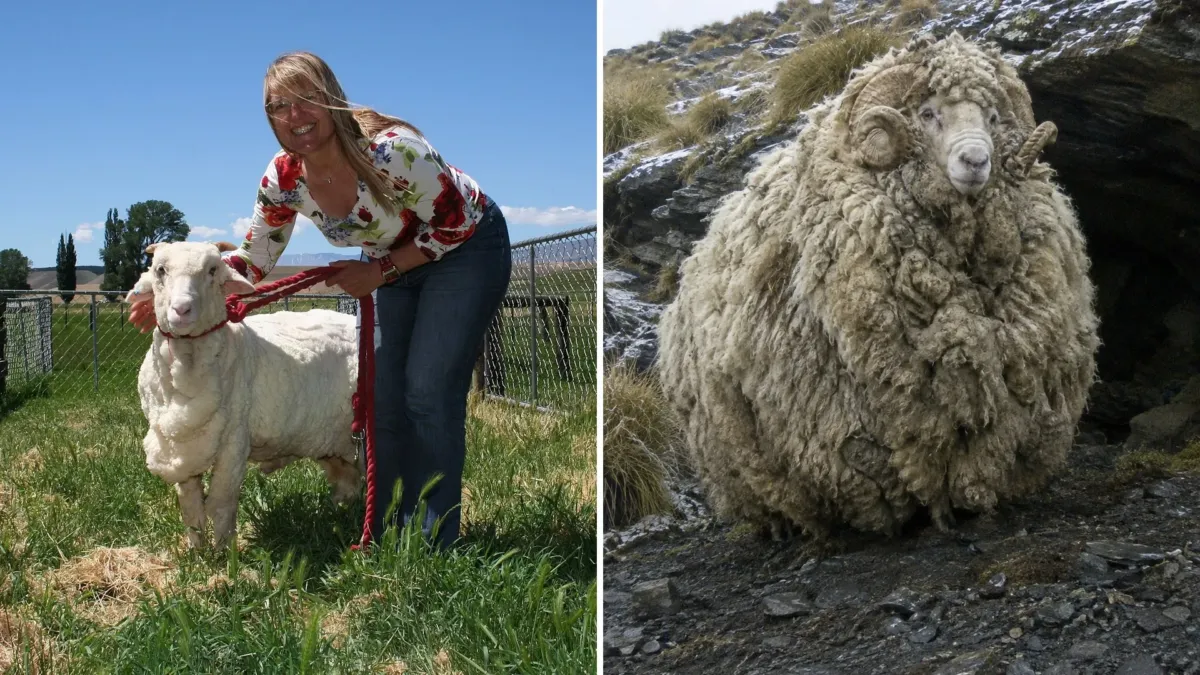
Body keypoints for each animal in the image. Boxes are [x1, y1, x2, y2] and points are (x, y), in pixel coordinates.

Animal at [126, 241, 363, 549]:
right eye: (160, 270)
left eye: (213, 270)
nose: (181, 309)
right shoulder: (182, 447)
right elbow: (191, 509)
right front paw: (195, 552)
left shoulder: (234, 442)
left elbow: (221, 503)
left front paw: (224, 552)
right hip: (331, 437)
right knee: (347, 481)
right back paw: (337, 517)